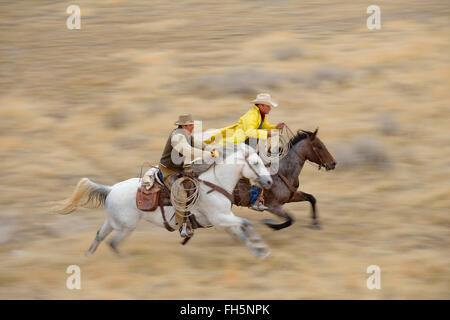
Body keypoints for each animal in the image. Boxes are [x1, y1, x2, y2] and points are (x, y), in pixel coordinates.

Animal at [56, 144, 274, 258]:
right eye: (255, 163)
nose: (269, 181)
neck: (214, 184)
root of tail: (110, 190)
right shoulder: (220, 218)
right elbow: (246, 223)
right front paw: (261, 248)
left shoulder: (225, 219)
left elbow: (241, 232)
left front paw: (259, 250)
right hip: (125, 227)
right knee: (113, 243)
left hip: (112, 222)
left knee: (100, 237)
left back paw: (87, 257)